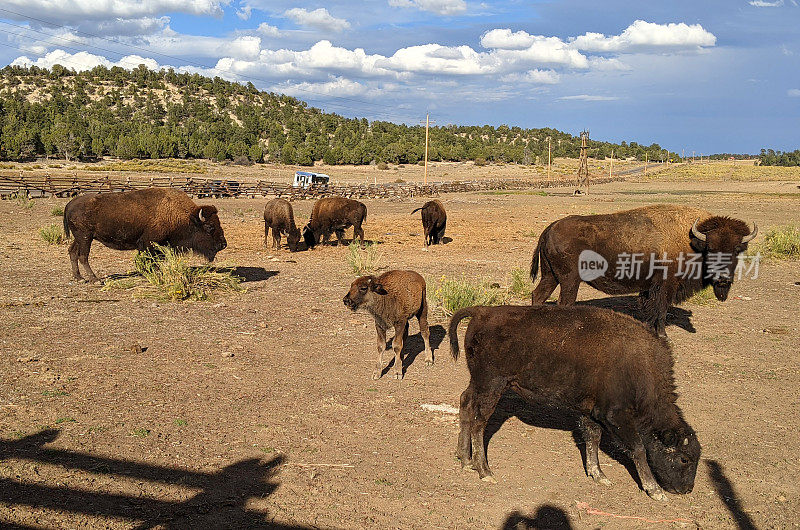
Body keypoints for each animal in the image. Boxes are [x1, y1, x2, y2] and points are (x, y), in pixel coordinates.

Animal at [63, 188, 227, 282]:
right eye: (210, 227)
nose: (223, 244)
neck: (184, 217)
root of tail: (70, 203)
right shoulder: (148, 243)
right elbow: (150, 260)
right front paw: (154, 273)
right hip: (85, 237)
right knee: (83, 256)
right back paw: (94, 279)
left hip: (80, 238)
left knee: (72, 252)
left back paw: (78, 278)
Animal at [450, 304, 700, 498]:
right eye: (684, 459)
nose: (686, 489)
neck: (639, 364)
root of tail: (482, 311)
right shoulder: (615, 415)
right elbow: (638, 448)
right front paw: (654, 490)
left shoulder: (590, 412)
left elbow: (593, 439)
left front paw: (599, 475)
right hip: (492, 386)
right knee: (479, 422)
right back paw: (485, 471)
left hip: (479, 383)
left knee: (465, 404)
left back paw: (464, 460)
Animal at [532, 204, 756, 336]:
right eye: (711, 248)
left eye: (737, 249)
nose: (723, 279)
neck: (691, 240)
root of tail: (550, 228)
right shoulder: (666, 285)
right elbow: (661, 309)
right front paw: (662, 334)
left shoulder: (650, 287)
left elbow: (651, 309)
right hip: (569, 280)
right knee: (564, 303)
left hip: (550, 276)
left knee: (538, 295)